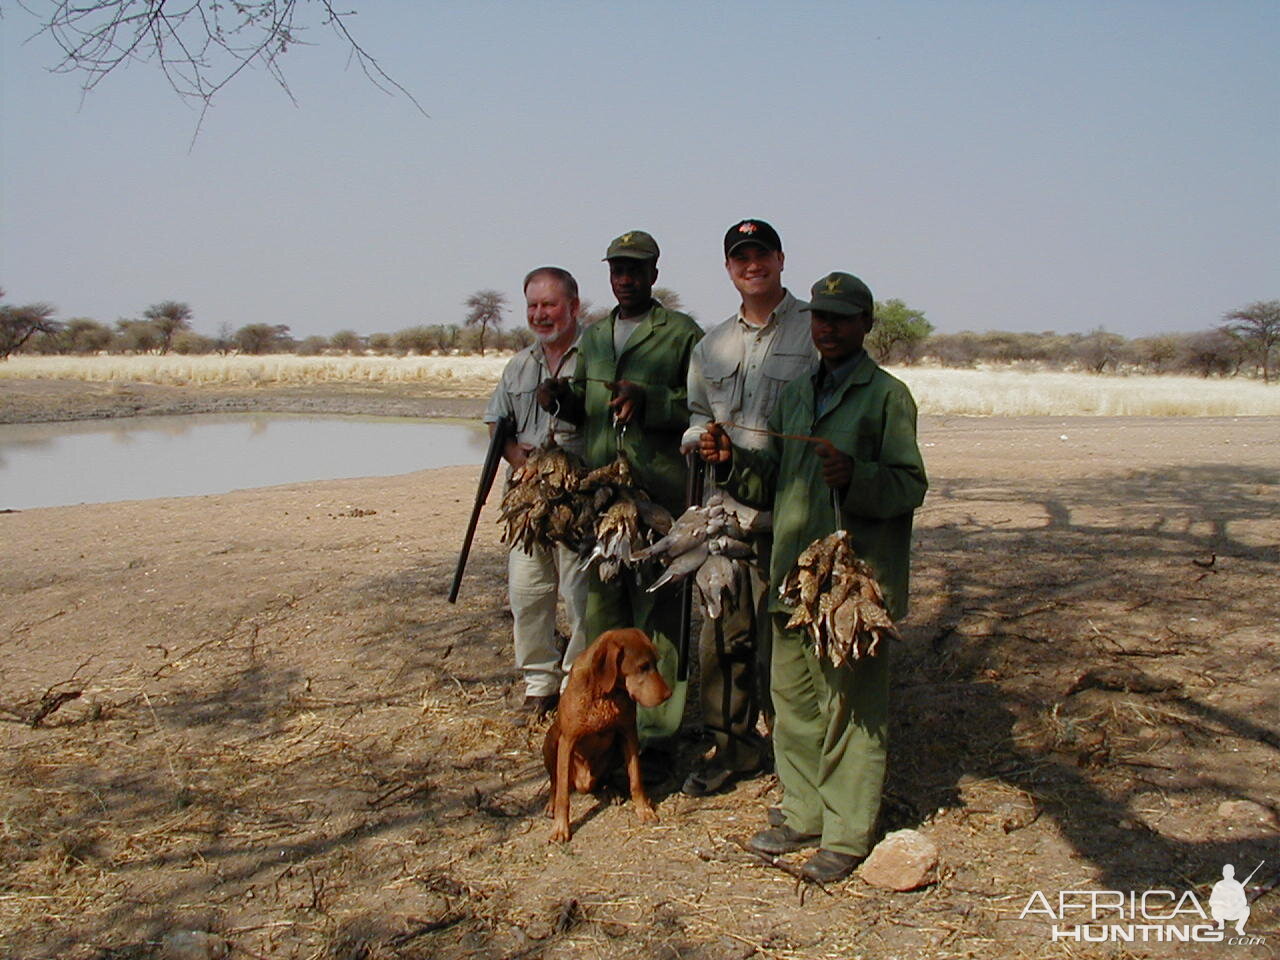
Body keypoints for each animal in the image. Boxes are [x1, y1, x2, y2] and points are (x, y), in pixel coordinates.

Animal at [542, 632, 675, 839]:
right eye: (643, 666)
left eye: (656, 662)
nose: (669, 694)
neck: (604, 693)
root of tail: (583, 784)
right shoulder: (567, 741)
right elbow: (563, 794)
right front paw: (560, 827)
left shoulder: (628, 734)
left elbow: (636, 779)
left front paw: (644, 810)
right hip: (550, 743)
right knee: (555, 781)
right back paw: (551, 804)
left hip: (617, 750)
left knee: (606, 777)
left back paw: (612, 791)